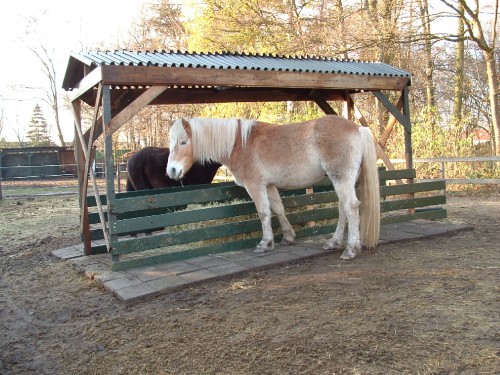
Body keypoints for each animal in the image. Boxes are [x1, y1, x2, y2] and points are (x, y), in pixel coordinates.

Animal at [167, 116, 378, 260]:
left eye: (183, 142)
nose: (171, 171)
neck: (240, 144)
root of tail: (357, 128)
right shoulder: (268, 185)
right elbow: (278, 209)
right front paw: (288, 236)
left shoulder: (255, 185)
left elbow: (263, 212)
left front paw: (265, 243)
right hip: (343, 180)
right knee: (343, 208)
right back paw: (334, 242)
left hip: (341, 179)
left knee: (351, 207)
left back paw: (351, 249)